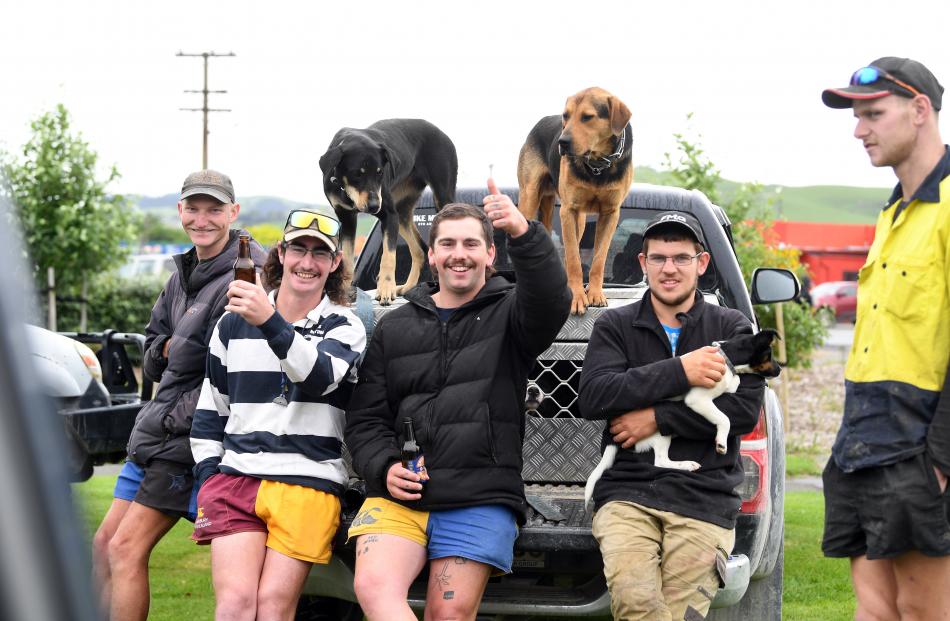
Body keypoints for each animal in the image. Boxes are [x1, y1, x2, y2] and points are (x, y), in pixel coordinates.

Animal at [520, 85, 632, 312]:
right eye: (566, 115)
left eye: (588, 117)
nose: (562, 142)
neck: (598, 164)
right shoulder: (568, 211)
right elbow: (573, 259)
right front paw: (577, 297)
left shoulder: (610, 212)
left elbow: (598, 259)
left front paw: (595, 293)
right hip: (529, 197)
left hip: (579, 219)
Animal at [588, 326, 780, 506]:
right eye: (769, 355)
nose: (779, 370)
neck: (726, 358)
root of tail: (610, 434)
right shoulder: (698, 399)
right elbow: (724, 418)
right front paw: (721, 443)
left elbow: (734, 384)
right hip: (660, 434)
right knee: (661, 462)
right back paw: (687, 464)